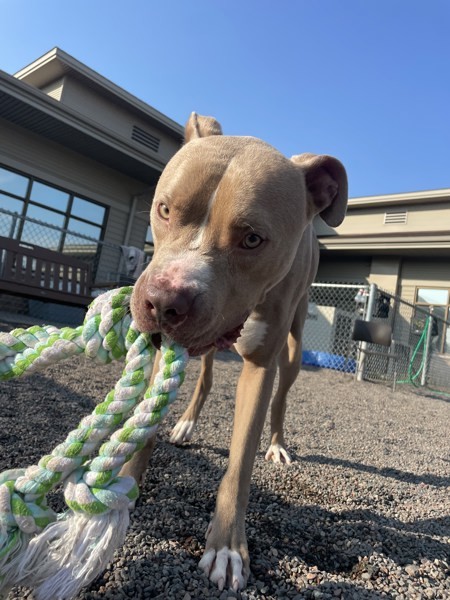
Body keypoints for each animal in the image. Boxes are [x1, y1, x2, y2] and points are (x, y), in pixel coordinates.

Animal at [122, 112, 348, 592]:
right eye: (164, 209)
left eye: (253, 240)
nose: (162, 303)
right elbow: (145, 428)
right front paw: (123, 488)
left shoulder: (261, 366)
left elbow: (240, 464)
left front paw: (226, 547)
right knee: (206, 376)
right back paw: (187, 423)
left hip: (294, 346)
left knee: (282, 398)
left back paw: (277, 445)